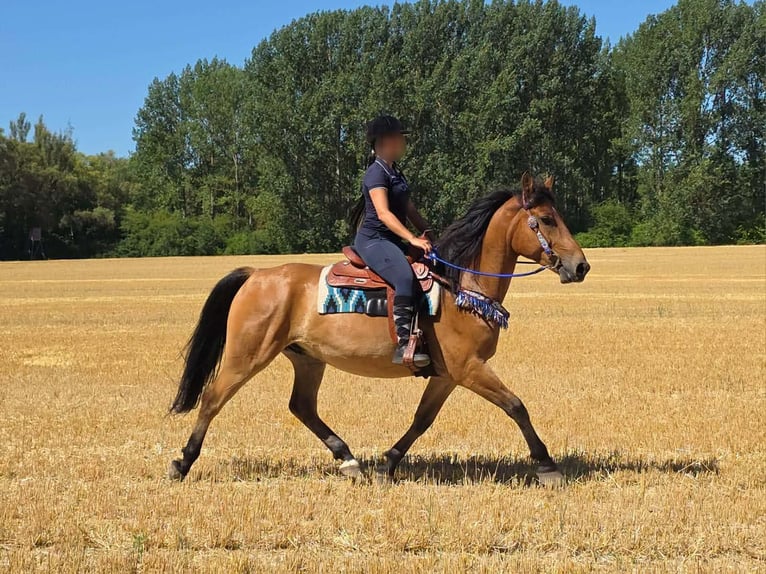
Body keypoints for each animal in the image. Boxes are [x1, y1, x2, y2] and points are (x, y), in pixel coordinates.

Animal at [167, 172, 590, 485]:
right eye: (547, 219)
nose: (581, 266)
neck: (461, 284)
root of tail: (256, 274)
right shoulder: (469, 367)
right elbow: (516, 406)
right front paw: (547, 465)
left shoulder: (447, 374)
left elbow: (422, 419)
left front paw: (389, 461)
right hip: (248, 354)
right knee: (213, 398)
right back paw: (182, 462)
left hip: (307, 359)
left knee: (302, 406)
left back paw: (349, 460)